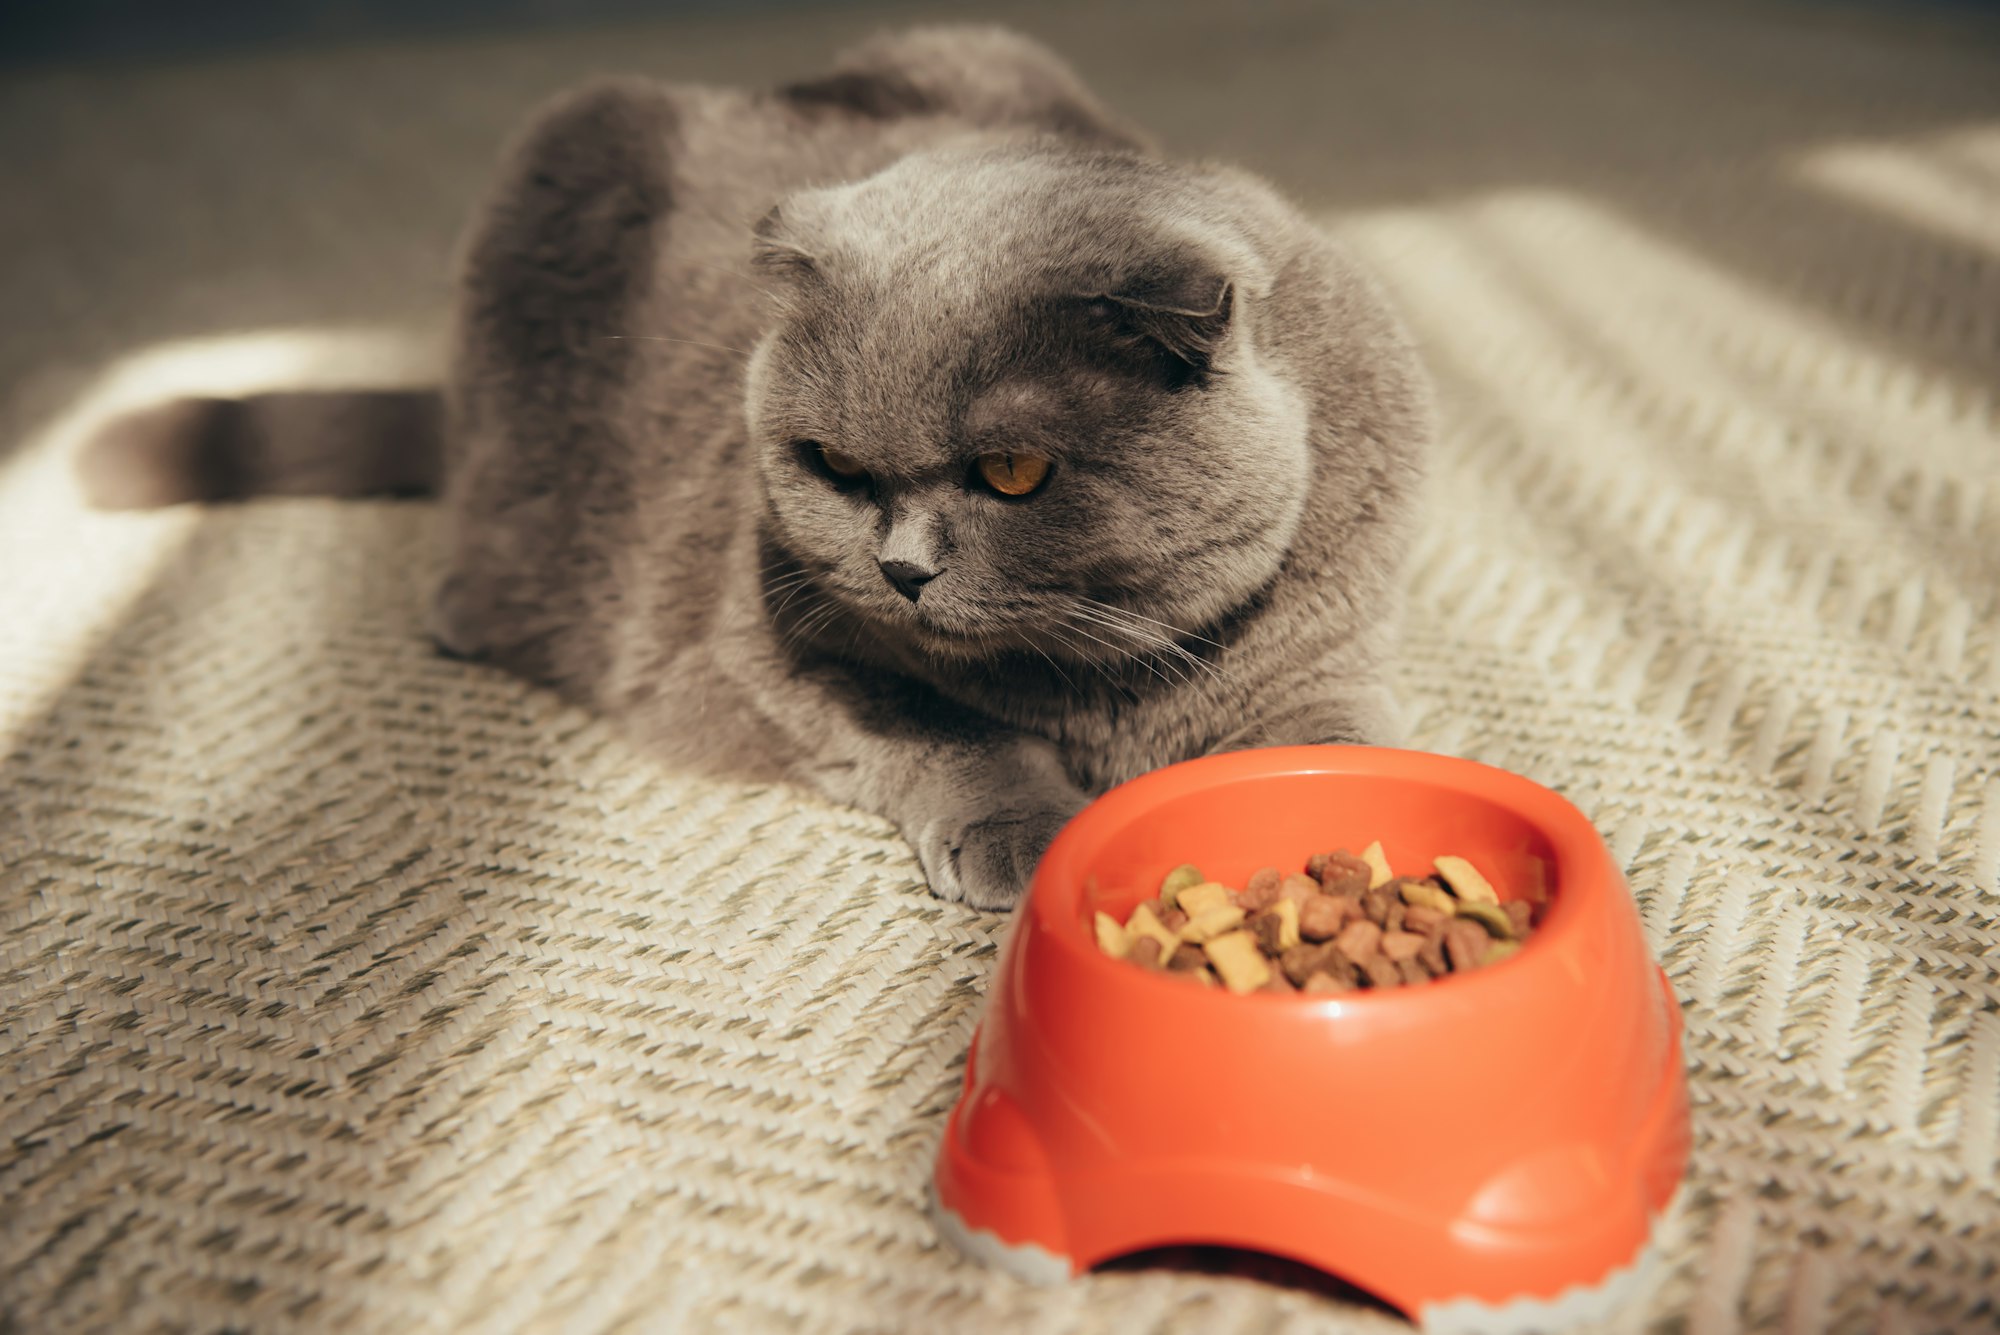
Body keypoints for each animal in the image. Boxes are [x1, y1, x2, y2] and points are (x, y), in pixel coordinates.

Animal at [82, 26, 1424, 911]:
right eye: (829, 466)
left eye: (1011, 472)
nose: (901, 571)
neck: (1095, 685)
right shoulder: (767, 647)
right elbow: (940, 726)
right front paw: (1027, 837)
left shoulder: (1322, 653)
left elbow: (1346, 749)